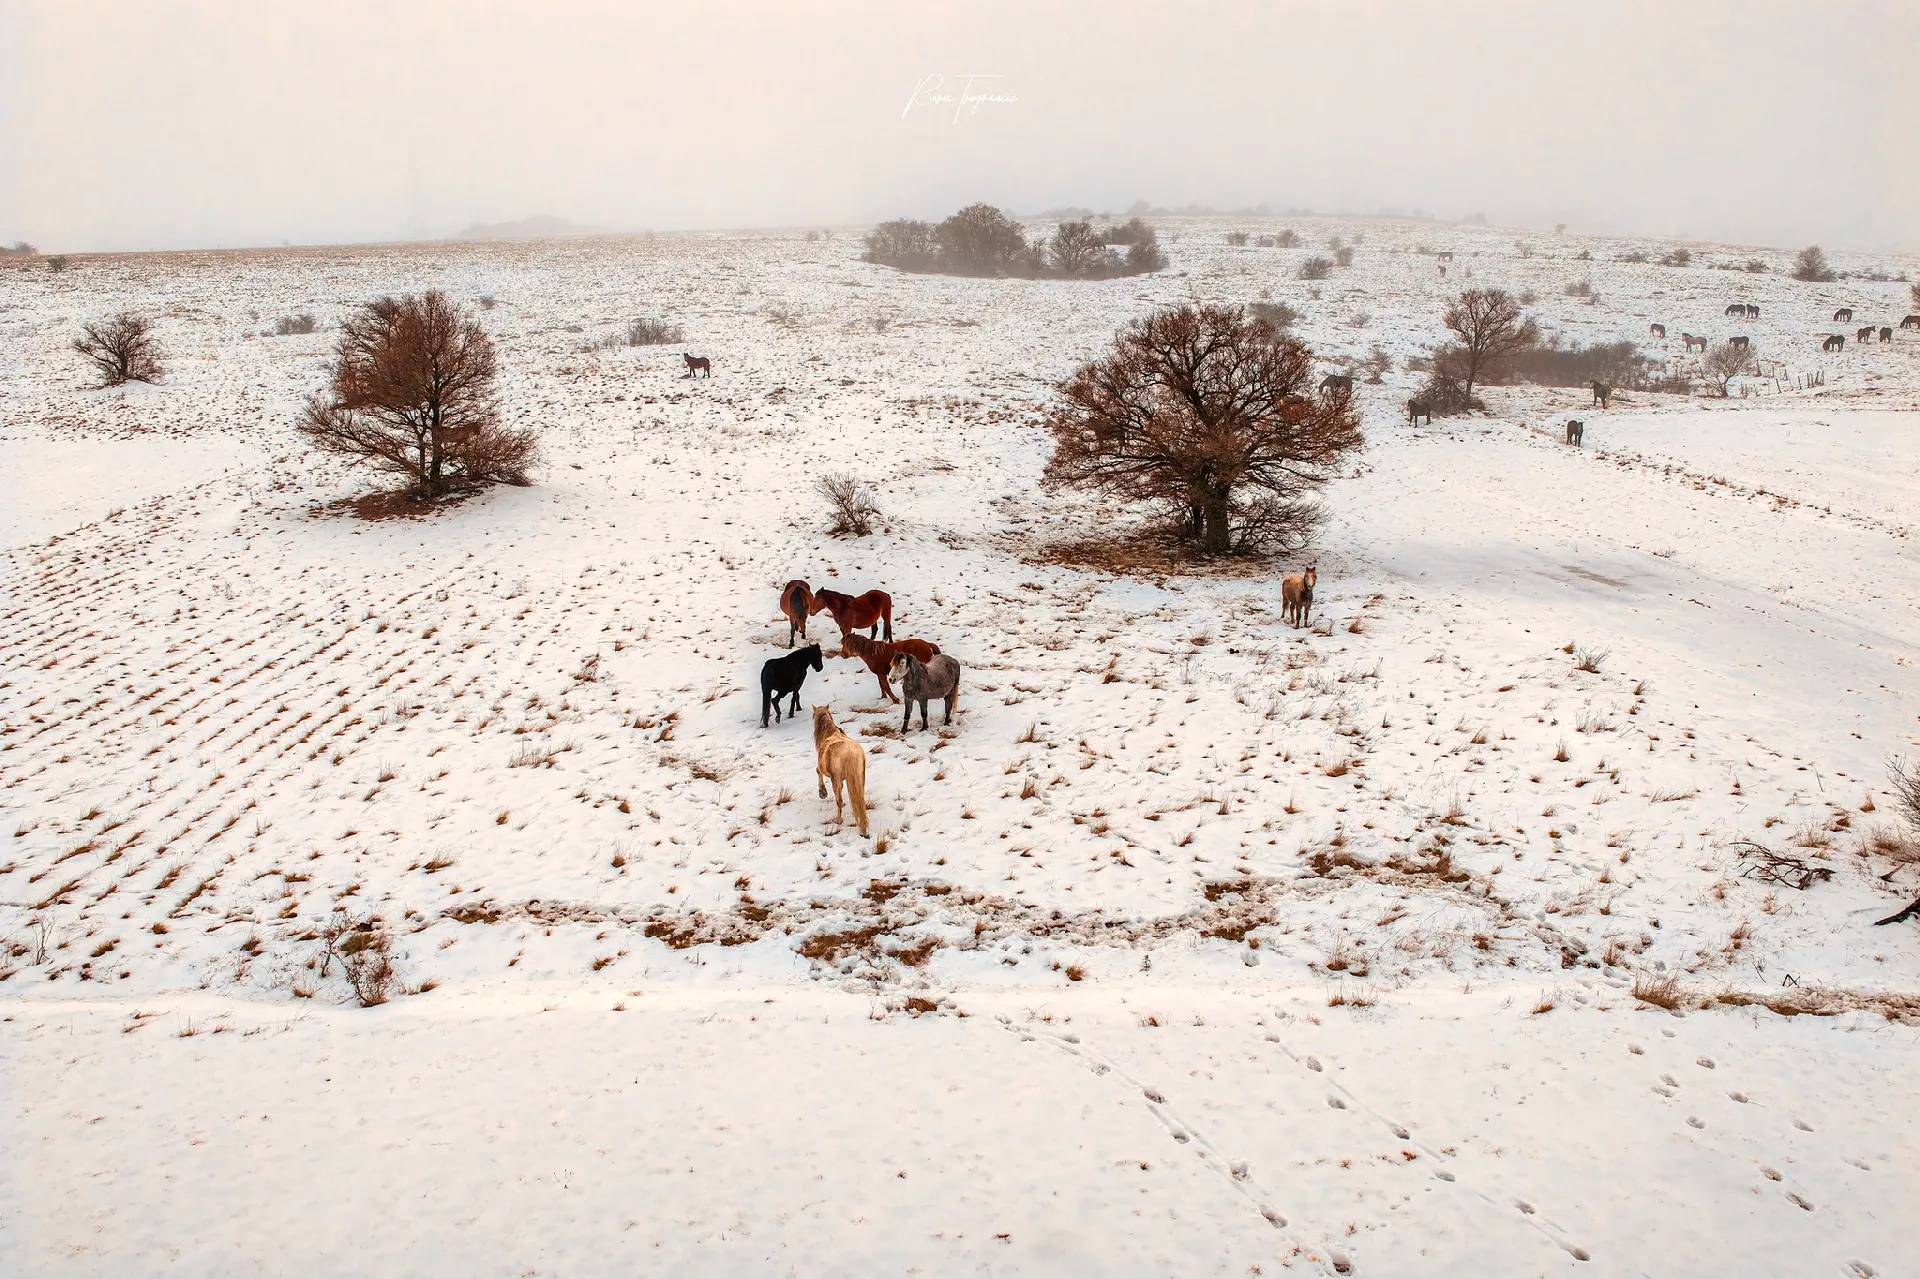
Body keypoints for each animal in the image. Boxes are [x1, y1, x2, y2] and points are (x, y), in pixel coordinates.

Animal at [811, 706, 869, 836]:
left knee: (838, 800)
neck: (830, 733)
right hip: (860, 779)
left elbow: (818, 771)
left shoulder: (827, 772)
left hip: (836, 781)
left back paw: (838, 820)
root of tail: (851, 753)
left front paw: (822, 792)